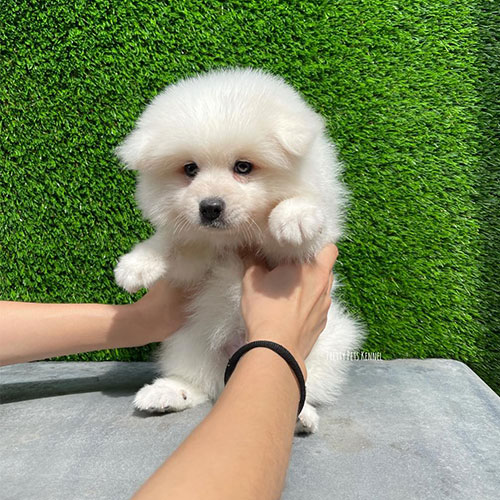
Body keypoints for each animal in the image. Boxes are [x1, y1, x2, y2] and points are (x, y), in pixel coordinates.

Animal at [114, 67, 364, 434]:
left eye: (243, 167)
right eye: (190, 169)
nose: (209, 207)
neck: (234, 239)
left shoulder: (302, 252)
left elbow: (300, 219)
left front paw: (294, 216)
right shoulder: (197, 256)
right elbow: (171, 242)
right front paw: (136, 265)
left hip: (328, 343)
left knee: (305, 383)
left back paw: (301, 416)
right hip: (189, 341)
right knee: (200, 382)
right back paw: (167, 392)